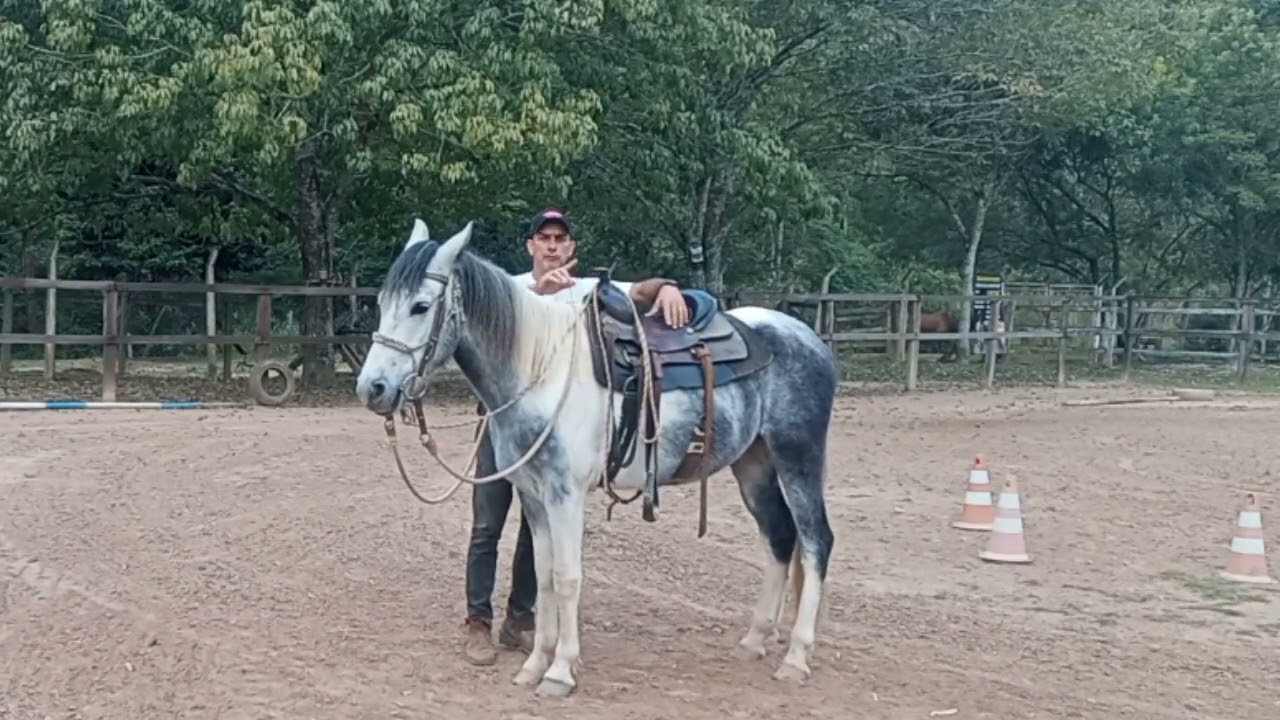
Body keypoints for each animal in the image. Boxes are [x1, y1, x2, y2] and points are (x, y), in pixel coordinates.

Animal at [355, 219, 837, 697]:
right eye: (380, 302)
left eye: (420, 306)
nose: (372, 388)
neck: (539, 372)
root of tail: (808, 338)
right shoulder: (534, 495)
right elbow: (544, 575)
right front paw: (534, 664)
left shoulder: (565, 494)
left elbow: (568, 578)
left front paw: (560, 671)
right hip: (753, 464)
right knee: (779, 538)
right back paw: (755, 640)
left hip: (798, 455)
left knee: (815, 541)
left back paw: (796, 657)